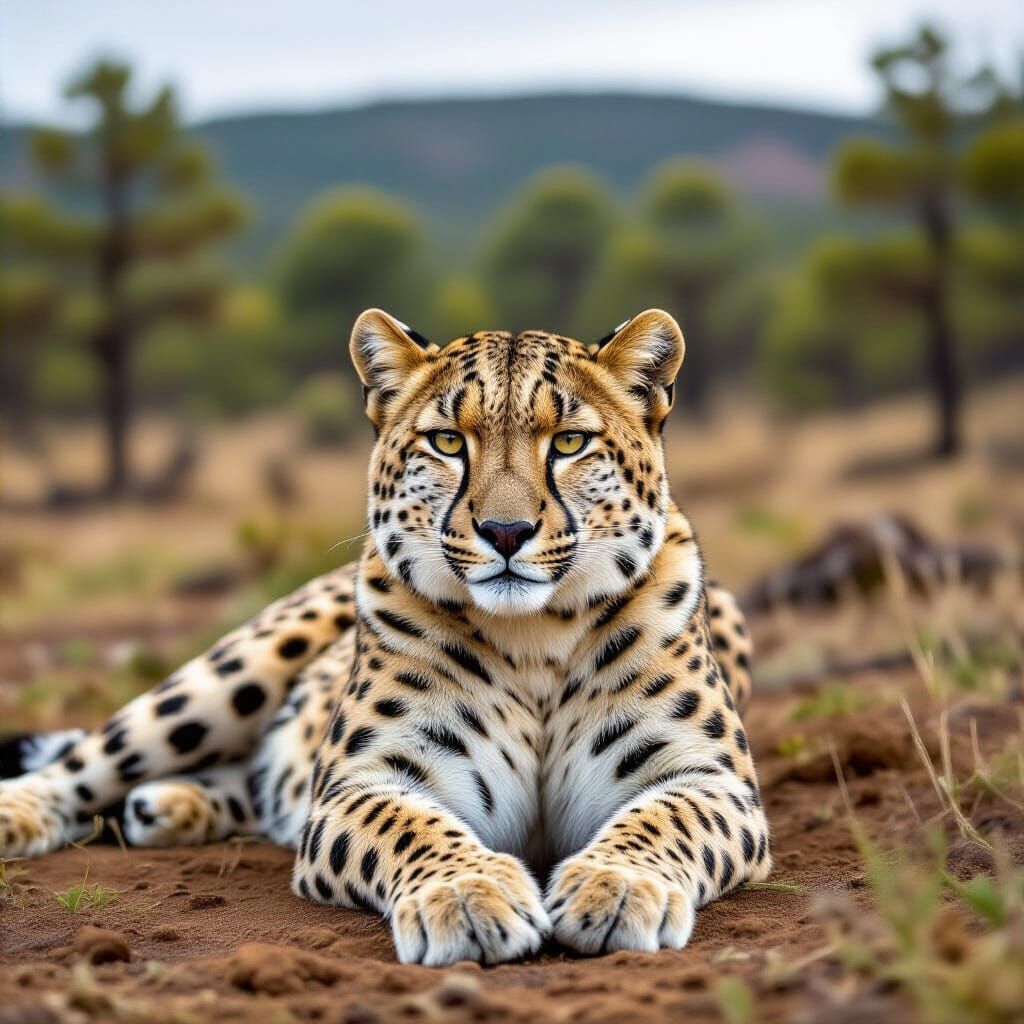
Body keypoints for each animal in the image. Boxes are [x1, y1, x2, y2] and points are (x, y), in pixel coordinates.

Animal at [0, 308, 769, 966]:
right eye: (448, 442)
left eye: (570, 443)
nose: (507, 532)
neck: (535, 638)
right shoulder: (362, 782)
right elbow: (413, 828)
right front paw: (468, 898)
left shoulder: (711, 779)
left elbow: (662, 821)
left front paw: (616, 889)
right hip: (233, 670)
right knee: (89, 762)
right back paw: (26, 815)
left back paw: (169, 805)